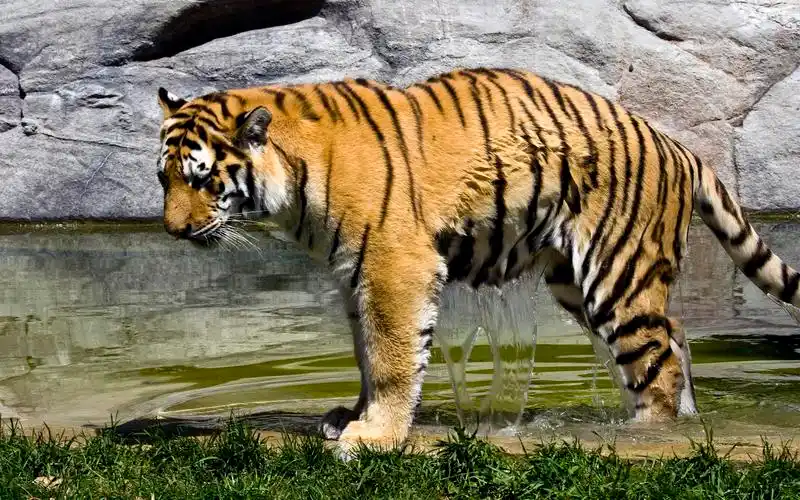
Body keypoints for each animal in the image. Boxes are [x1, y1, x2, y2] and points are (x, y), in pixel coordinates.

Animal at [154, 67, 800, 455]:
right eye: (164, 179)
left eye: (203, 177)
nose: (173, 230)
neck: (292, 177)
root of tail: (680, 147)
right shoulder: (354, 272)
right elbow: (366, 353)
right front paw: (352, 415)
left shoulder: (394, 264)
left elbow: (391, 358)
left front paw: (375, 434)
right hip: (577, 280)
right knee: (675, 338)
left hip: (616, 271)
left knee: (657, 365)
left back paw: (640, 436)